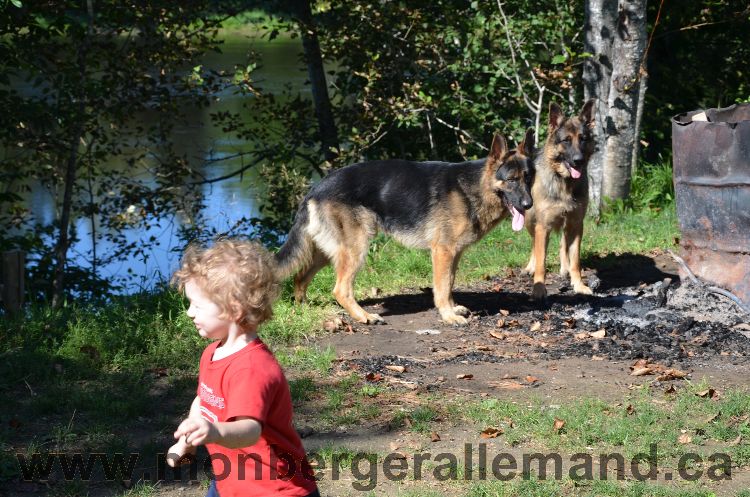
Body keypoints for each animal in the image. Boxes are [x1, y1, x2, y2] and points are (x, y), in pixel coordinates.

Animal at [280, 131, 536, 326]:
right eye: (511, 180)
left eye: (528, 177)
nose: (528, 205)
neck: (473, 187)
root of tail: (316, 188)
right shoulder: (442, 252)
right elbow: (442, 287)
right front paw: (448, 316)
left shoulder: (454, 254)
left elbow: (449, 283)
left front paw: (453, 309)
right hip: (356, 248)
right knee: (340, 289)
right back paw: (364, 316)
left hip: (327, 251)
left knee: (300, 278)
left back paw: (304, 309)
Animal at [524, 98, 596, 296]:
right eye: (566, 140)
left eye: (583, 139)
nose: (578, 160)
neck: (564, 182)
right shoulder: (543, 227)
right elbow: (541, 261)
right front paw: (539, 289)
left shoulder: (577, 224)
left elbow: (576, 261)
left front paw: (578, 284)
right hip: (530, 221)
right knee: (533, 244)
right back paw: (530, 266)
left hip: (568, 225)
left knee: (563, 245)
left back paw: (565, 268)